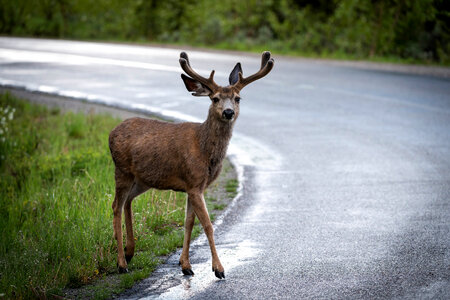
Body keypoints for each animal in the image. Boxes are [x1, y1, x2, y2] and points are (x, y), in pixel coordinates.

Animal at [109, 51, 274, 278]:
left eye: (238, 98)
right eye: (215, 98)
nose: (228, 112)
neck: (204, 149)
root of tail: (111, 133)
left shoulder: (195, 186)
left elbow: (189, 223)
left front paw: (185, 265)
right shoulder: (194, 182)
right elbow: (207, 224)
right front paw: (218, 269)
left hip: (142, 179)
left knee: (127, 201)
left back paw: (130, 251)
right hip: (122, 169)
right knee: (116, 205)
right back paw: (121, 263)